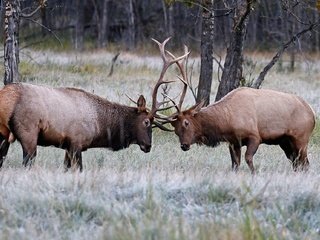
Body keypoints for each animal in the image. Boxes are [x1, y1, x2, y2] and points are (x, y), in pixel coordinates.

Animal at [154, 37, 316, 173]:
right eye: (174, 129)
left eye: (186, 123)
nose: (184, 145)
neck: (226, 121)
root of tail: (312, 113)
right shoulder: (233, 142)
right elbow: (235, 164)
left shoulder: (255, 136)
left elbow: (248, 158)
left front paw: (254, 174)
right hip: (285, 142)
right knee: (297, 163)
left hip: (301, 138)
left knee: (305, 163)